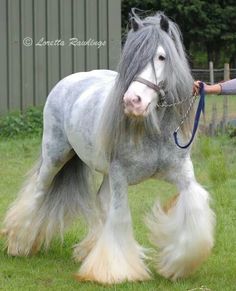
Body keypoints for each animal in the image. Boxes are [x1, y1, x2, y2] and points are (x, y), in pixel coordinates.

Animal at [2, 11, 216, 286]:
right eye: (131, 58)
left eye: (162, 56)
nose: (133, 101)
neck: (154, 132)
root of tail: (67, 81)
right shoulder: (120, 177)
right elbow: (120, 216)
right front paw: (115, 271)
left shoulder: (182, 175)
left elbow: (194, 210)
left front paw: (178, 263)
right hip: (55, 157)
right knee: (38, 191)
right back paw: (19, 242)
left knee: (100, 200)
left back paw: (88, 249)